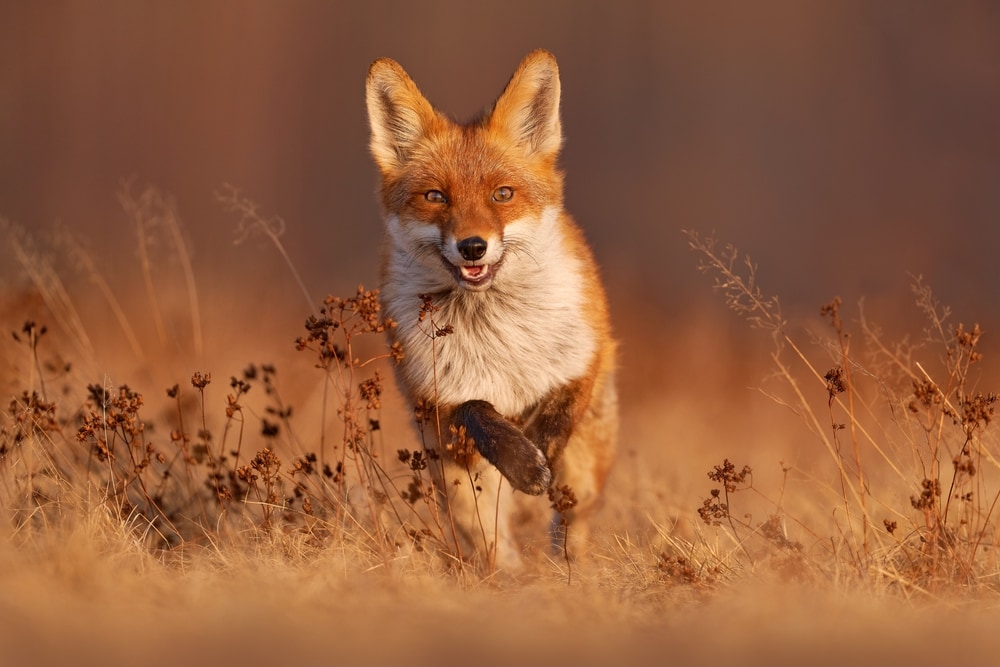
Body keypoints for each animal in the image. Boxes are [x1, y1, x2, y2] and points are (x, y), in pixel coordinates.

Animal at [365, 49, 617, 569]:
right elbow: (477, 410)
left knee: (571, 525)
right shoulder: (438, 400)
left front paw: (537, 452)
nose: (473, 247)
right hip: (457, 487)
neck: (499, 332)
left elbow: (559, 410)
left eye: (502, 194)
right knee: (492, 544)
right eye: (435, 196)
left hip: (586, 470)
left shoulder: (586, 353)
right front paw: (522, 461)